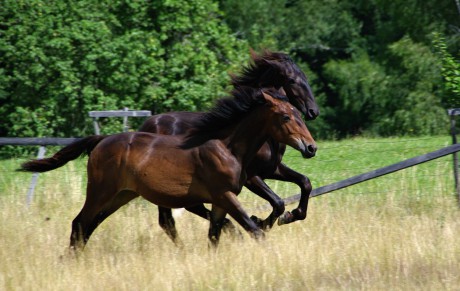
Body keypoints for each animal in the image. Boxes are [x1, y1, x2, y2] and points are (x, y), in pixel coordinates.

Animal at [20, 88, 316, 250]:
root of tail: (101, 140)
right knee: (80, 222)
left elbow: (216, 235)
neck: (227, 146)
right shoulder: (225, 195)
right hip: (100, 192)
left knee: (90, 225)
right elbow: (252, 228)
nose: (311, 147)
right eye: (286, 116)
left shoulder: (221, 201)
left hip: (121, 195)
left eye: (298, 114)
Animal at [139, 50, 320, 233]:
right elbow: (278, 202)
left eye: (305, 77)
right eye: (292, 80)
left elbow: (305, 183)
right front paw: (261, 221)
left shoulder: (272, 169)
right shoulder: (251, 177)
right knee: (172, 217)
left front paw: (292, 215)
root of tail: (147, 124)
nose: (314, 111)